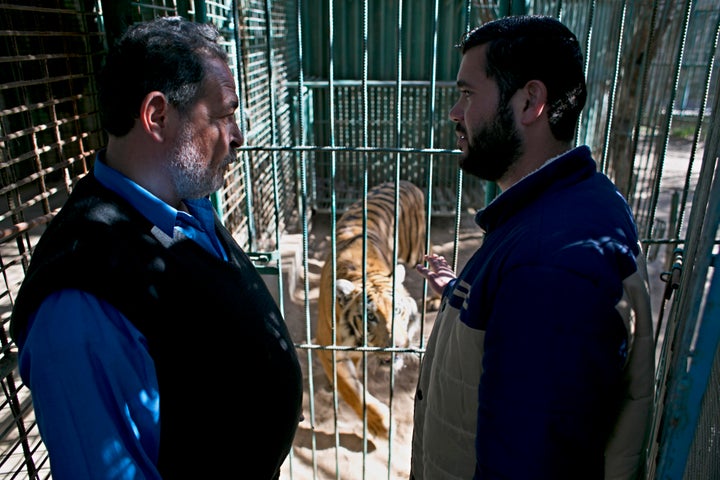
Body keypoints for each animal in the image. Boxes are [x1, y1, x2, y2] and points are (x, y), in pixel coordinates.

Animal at [316, 180, 428, 438]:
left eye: (397, 311)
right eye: (370, 317)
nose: (398, 346)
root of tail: (406, 182)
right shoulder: (331, 348)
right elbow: (352, 389)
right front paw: (382, 424)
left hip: (415, 251)